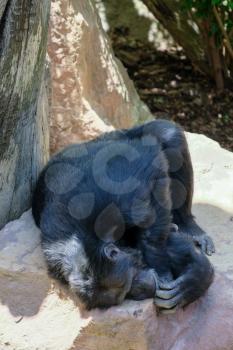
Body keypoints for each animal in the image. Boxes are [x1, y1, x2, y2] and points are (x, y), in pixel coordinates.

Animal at [31, 119, 215, 308]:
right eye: (126, 294)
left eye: (126, 284)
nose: (145, 287)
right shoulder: (54, 255)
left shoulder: (121, 197)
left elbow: (153, 178)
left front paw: (175, 277)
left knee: (169, 134)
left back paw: (189, 227)